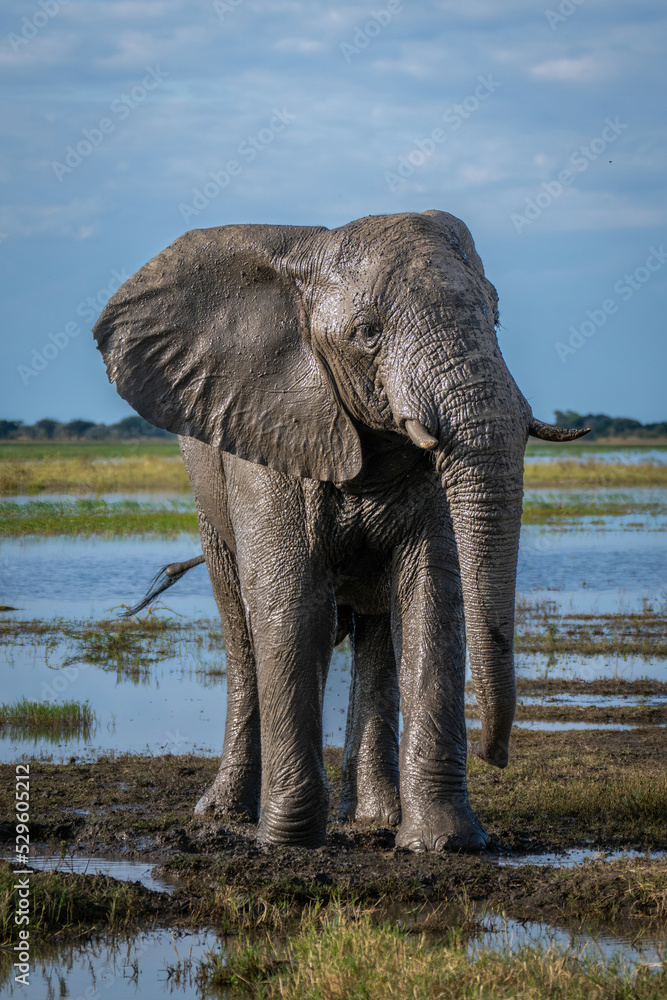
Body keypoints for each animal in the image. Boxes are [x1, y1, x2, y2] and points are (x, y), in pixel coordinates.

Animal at [93, 210, 588, 851]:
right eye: (368, 333)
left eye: (496, 316)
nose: (495, 754)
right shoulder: (267, 429)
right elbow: (293, 606)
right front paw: (285, 843)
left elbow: (431, 599)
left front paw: (445, 844)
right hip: (207, 494)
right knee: (240, 629)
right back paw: (223, 814)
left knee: (377, 628)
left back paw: (374, 818)